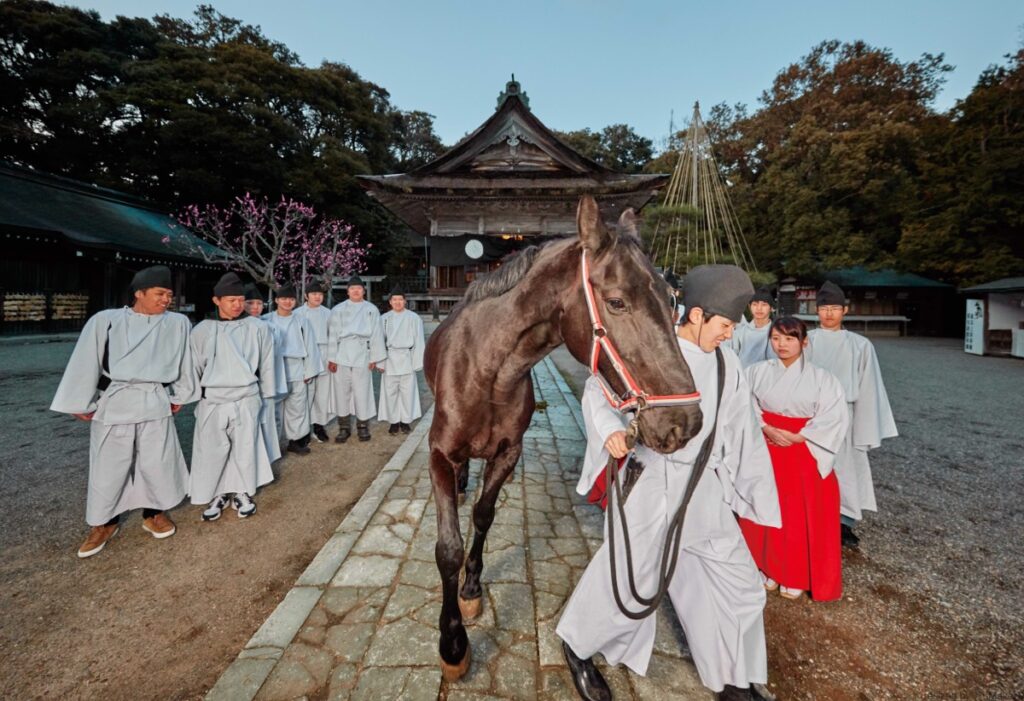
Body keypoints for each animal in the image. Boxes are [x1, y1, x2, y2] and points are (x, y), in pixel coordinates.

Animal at [423, 192, 704, 679]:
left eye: (671, 300)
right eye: (616, 302)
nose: (685, 422)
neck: (489, 370)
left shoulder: (508, 453)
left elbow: (482, 516)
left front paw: (472, 587)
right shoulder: (438, 453)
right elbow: (448, 548)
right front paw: (453, 644)